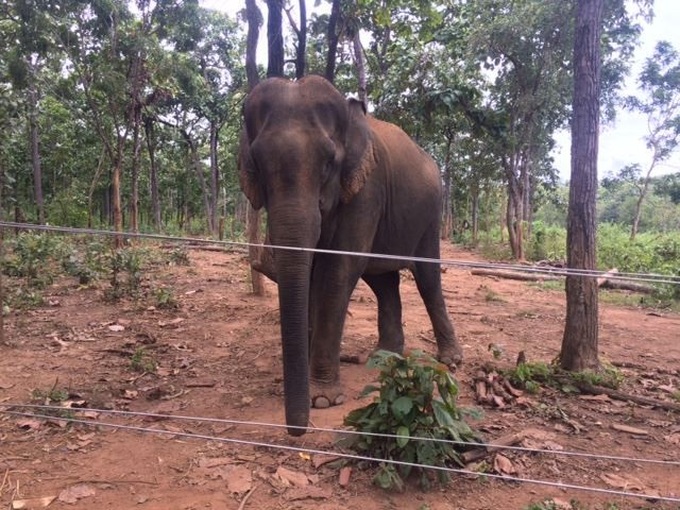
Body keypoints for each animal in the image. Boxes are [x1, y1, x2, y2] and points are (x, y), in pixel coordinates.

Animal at [238, 74, 462, 434]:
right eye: (257, 163)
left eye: (329, 162)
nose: (297, 430)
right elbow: (312, 273)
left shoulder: (365, 190)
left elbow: (337, 271)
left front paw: (322, 399)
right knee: (383, 282)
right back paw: (384, 357)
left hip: (431, 213)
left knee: (427, 278)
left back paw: (451, 361)